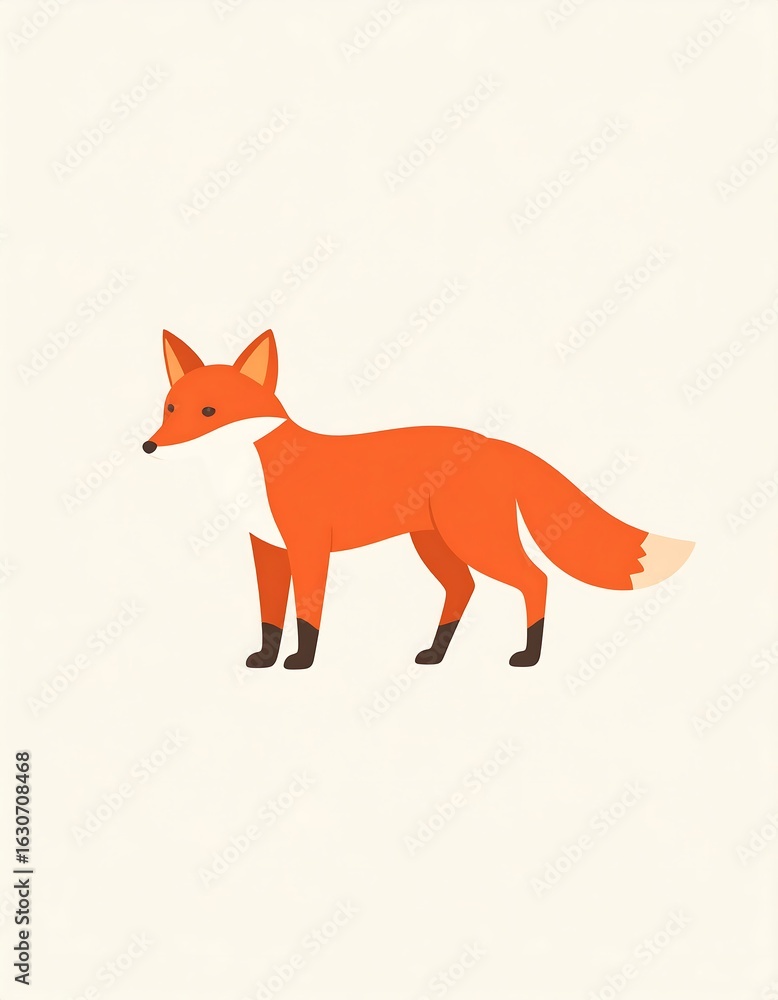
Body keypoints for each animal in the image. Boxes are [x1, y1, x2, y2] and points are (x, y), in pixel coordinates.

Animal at [143, 328, 694, 670]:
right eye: (170, 408)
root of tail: (492, 441)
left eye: (210, 411)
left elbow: (306, 615)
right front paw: (265, 659)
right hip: (434, 543)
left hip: (473, 539)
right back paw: (435, 653)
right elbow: (269, 618)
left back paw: (529, 656)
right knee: (464, 589)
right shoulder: (269, 550)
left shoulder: (308, 545)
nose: (148, 446)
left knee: (534, 579)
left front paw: (301, 663)